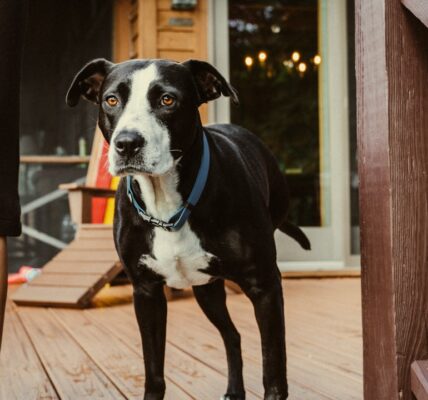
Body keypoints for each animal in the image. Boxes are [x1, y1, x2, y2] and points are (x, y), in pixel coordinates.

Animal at [67, 57, 310, 400]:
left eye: (167, 100)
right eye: (111, 100)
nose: (127, 143)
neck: (167, 206)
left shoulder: (264, 286)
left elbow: (273, 369)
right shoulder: (146, 293)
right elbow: (154, 372)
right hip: (206, 290)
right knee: (232, 336)